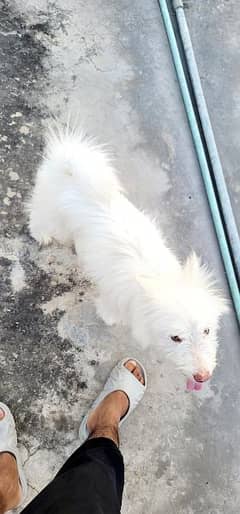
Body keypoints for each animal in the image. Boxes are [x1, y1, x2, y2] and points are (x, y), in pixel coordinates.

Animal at [29, 127, 228, 388]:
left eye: (207, 331)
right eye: (175, 337)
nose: (203, 377)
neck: (157, 278)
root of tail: (70, 162)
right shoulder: (113, 298)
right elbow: (109, 312)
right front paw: (109, 319)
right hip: (53, 218)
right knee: (36, 217)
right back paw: (40, 235)